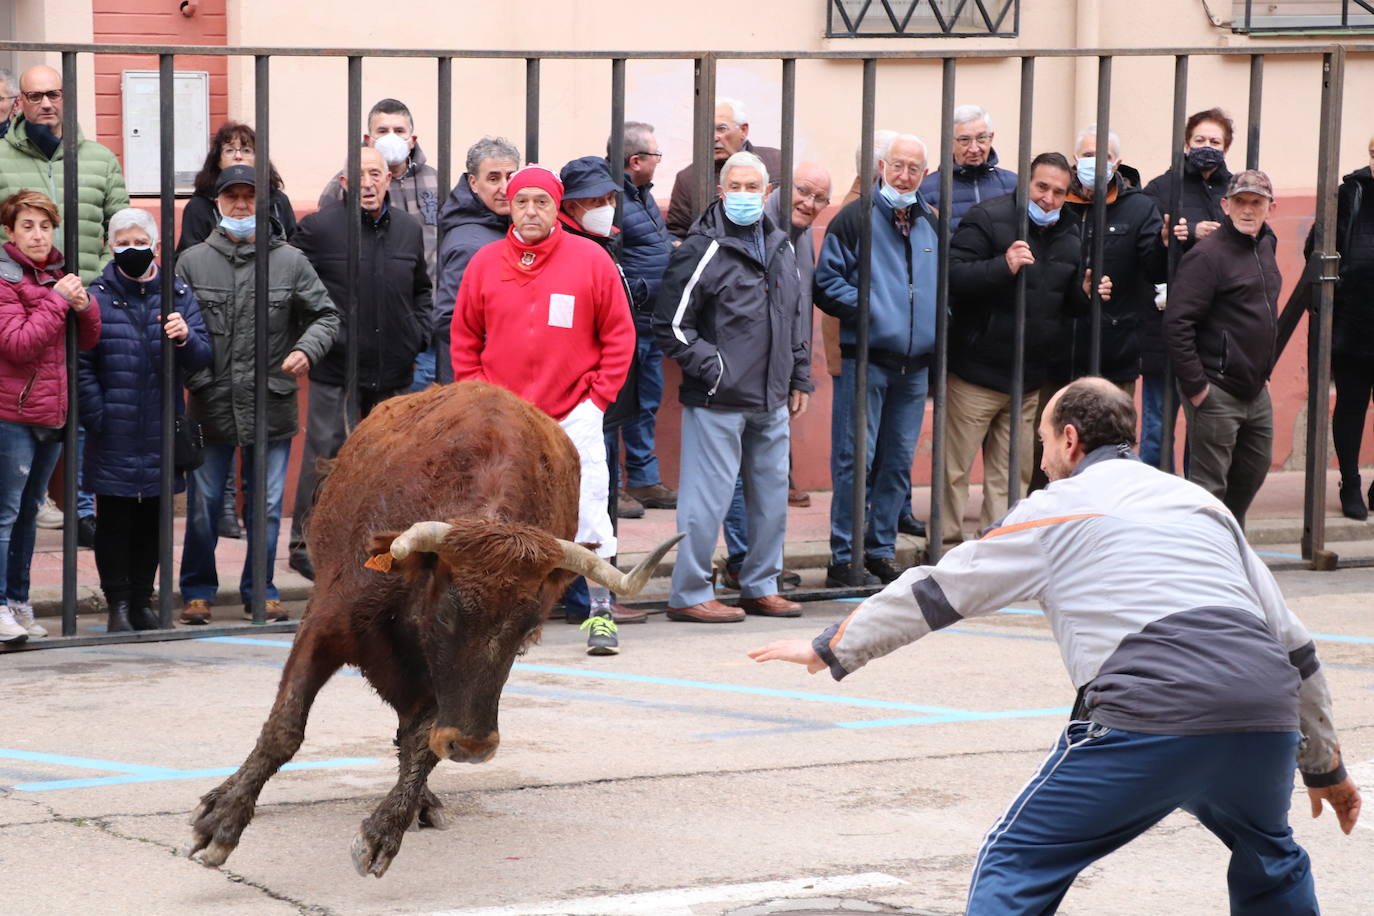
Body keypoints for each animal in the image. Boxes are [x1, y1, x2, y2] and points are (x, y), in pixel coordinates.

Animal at [190, 381, 684, 878]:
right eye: (449, 611)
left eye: (527, 628)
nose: (472, 746)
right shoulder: (326, 624)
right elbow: (285, 727)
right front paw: (221, 823)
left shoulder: (438, 688)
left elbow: (422, 742)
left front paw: (384, 831)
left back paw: (422, 802)